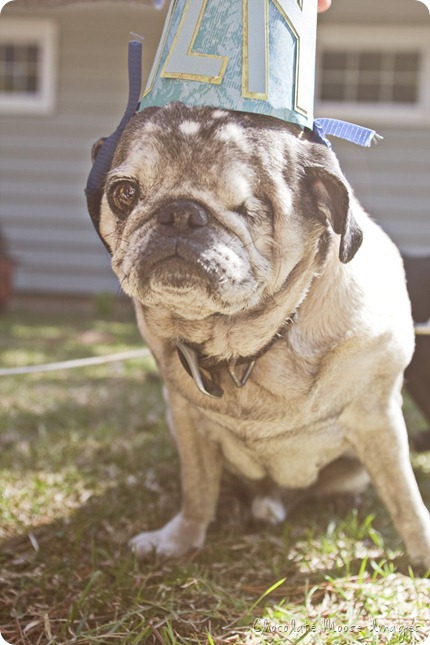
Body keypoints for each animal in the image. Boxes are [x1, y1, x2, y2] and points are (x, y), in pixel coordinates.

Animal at [91, 99, 430, 564]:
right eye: (124, 193)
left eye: (250, 208)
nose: (180, 211)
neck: (247, 347)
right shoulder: (187, 421)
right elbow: (197, 490)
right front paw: (181, 539)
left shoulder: (377, 418)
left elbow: (406, 499)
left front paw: (423, 552)